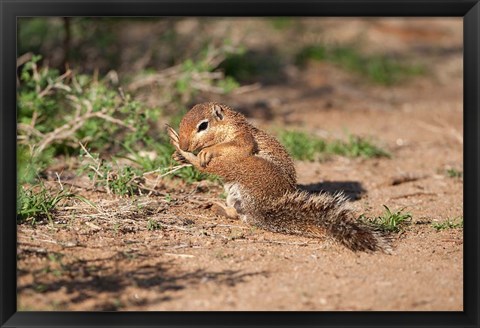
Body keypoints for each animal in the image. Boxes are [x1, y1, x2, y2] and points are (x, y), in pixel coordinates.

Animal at [167, 101, 392, 252]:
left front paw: (205, 151)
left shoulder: (243, 138)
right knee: (239, 214)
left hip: (245, 166)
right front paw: (179, 153)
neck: (230, 123)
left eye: (203, 125)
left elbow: (236, 146)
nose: (186, 144)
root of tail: (263, 206)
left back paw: (189, 156)